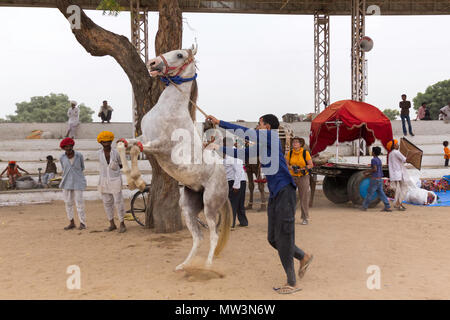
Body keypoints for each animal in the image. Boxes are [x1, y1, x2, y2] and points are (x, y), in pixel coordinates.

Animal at [116, 44, 232, 270]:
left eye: (179, 54)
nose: (152, 62)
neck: (169, 109)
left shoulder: (160, 146)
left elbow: (134, 150)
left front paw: (138, 181)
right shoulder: (144, 137)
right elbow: (123, 145)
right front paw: (131, 179)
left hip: (210, 205)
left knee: (213, 235)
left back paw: (207, 266)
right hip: (188, 206)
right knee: (198, 237)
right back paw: (183, 266)